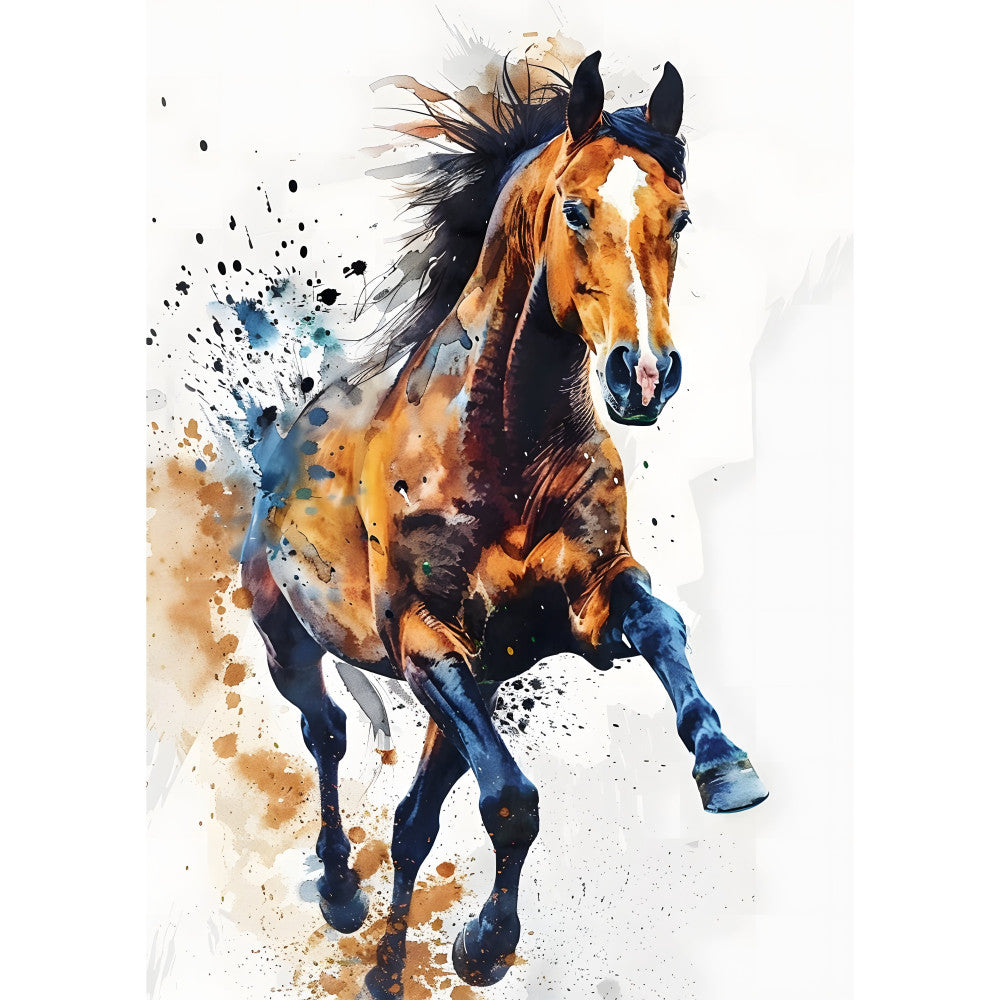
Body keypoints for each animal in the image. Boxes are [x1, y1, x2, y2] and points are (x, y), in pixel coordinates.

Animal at [239, 51, 768, 997]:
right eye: (577, 208)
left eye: (680, 215)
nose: (644, 376)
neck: (501, 447)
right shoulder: (424, 641)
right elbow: (513, 803)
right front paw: (483, 945)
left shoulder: (580, 610)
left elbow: (661, 622)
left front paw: (724, 763)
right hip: (288, 639)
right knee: (325, 734)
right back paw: (338, 891)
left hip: (473, 686)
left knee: (412, 819)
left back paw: (384, 968)